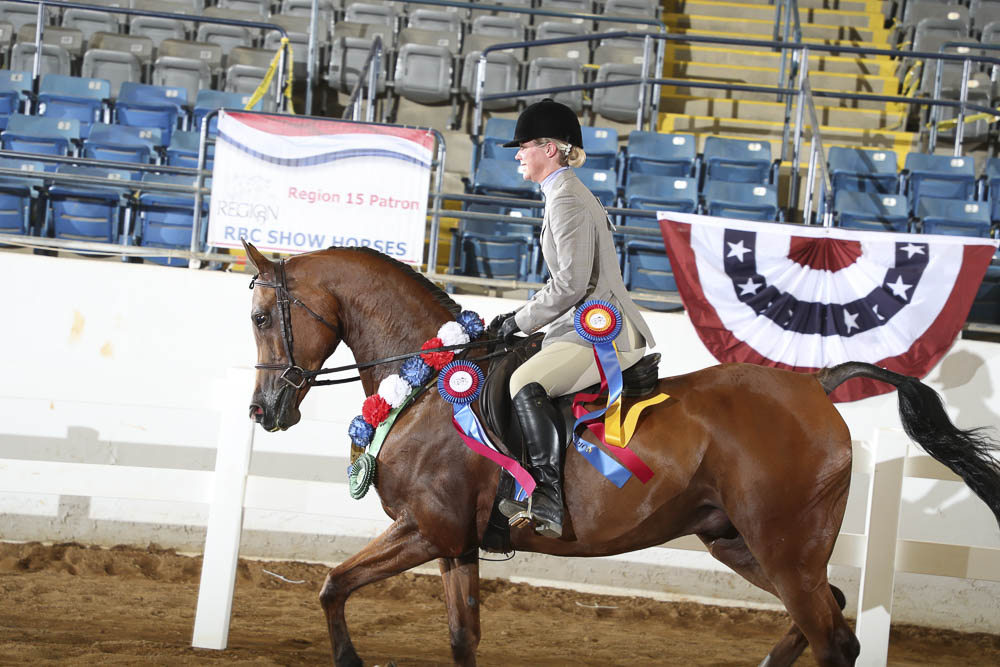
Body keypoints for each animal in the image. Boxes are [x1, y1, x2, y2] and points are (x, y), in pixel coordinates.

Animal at [241, 240, 1000, 667]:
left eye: (259, 316)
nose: (264, 412)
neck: (426, 380)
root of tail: (815, 384)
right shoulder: (457, 541)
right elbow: (461, 638)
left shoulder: (428, 528)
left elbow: (332, 584)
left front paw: (349, 659)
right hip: (741, 542)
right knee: (829, 611)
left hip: (783, 547)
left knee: (835, 639)